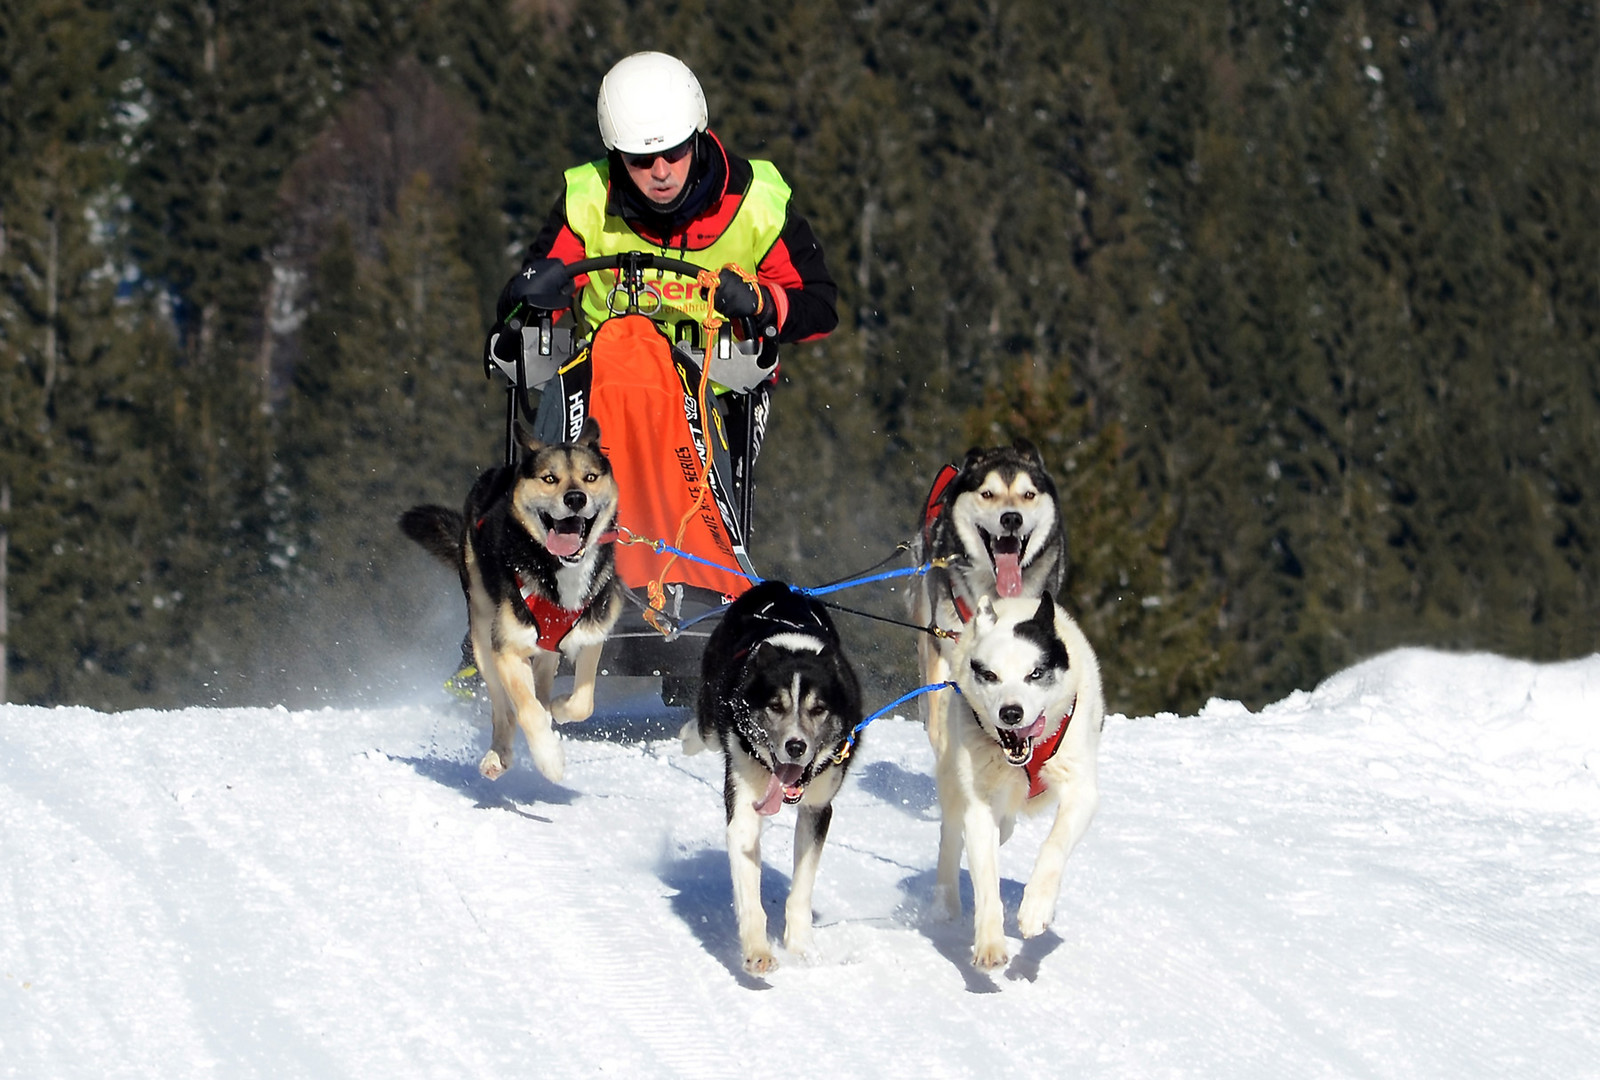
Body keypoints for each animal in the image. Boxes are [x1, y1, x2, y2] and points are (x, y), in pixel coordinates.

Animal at [400, 419, 624, 780]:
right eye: (550, 478)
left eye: (590, 477)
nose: (576, 498)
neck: (557, 570)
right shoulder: (506, 648)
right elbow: (526, 710)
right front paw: (549, 758)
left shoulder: (592, 635)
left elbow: (581, 703)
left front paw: (558, 709)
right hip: (481, 638)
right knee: (504, 708)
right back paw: (498, 755)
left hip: (545, 649)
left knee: (542, 685)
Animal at [684, 582, 870, 979]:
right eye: (775, 706)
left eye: (818, 709)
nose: (796, 746)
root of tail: (781, 587)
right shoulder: (743, 809)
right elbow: (749, 893)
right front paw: (758, 950)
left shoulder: (818, 809)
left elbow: (801, 888)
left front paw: (801, 947)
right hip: (712, 707)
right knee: (706, 728)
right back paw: (690, 737)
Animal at [934, 595, 1100, 972]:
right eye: (990, 675)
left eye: (1034, 673)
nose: (1011, 713)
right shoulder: (979, 806)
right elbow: (985, 880)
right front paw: (990, 941)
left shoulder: (1081, 791)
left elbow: (1054, 845)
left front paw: (1037, 906)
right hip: (955, 783)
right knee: (952, 839)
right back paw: (946, 905)